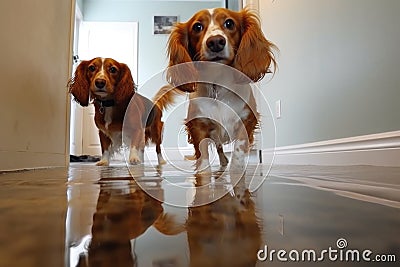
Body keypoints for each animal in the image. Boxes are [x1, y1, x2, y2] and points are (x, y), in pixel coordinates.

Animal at [155, 7, 276, 173]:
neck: (218, 85)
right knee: (218, 146)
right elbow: (203, 157)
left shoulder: (247, 120)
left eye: (229, 23)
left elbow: (238, 152)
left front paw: (237, 170)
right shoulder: (198, 125)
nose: (215, 42)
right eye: (197, 27)